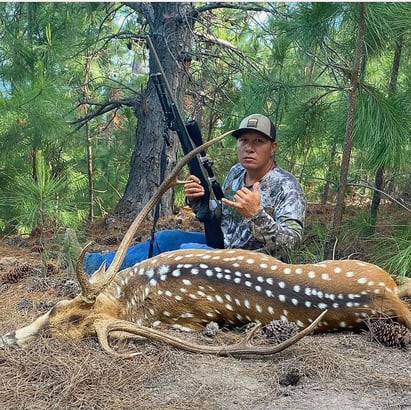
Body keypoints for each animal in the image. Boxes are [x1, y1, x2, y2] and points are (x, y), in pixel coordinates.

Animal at [0, 133, 411, 358]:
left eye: (75, 329)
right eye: (55, 309)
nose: (11, 337)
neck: (136, 291)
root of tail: (386, 298)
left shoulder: (183, 319)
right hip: (373, 272)